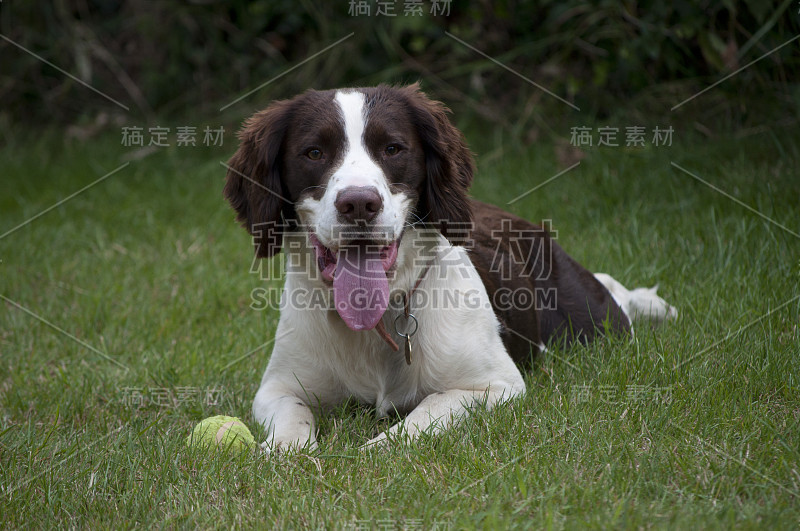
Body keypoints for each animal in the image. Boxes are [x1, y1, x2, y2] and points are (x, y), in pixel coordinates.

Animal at [223, 84, 676, 454]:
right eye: (314, 153)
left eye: (392, 149)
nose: (358, 204)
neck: (381, 319)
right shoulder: (277, 388)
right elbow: (293, 420)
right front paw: (282, 452)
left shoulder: (497, 386)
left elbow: (428, 407)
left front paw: (375, 448)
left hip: (592, 323)